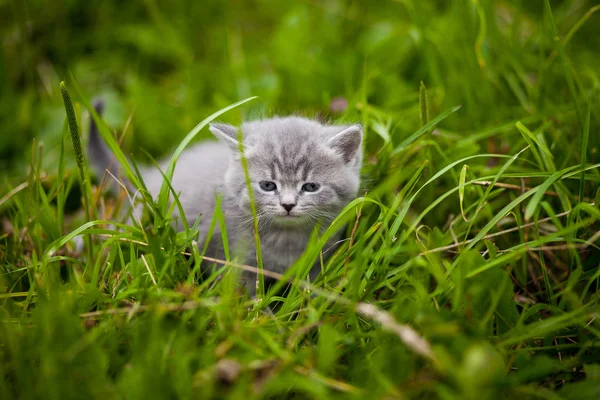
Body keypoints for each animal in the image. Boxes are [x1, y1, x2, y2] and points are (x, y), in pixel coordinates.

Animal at [88, 100, 360, 294]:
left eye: (310, 186)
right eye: (268, 185)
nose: (288, 204)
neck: (285, 239)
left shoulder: (316, 259)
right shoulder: (231, 260)